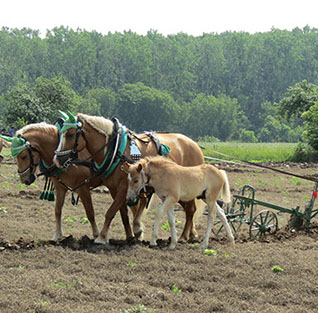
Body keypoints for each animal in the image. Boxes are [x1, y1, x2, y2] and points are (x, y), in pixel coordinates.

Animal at [53, 111, 205, 244]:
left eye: (71, 135)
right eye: (60, 134)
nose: (57, 160)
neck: (115, 151)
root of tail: (195, 146)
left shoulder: (124, 187)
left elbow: (110, 212)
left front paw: (101, 237)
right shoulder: (114, 189)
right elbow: (123, 214)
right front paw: (131, 235)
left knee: (190, 209)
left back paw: (184, 237)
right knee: (188, 209)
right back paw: (188, 235)